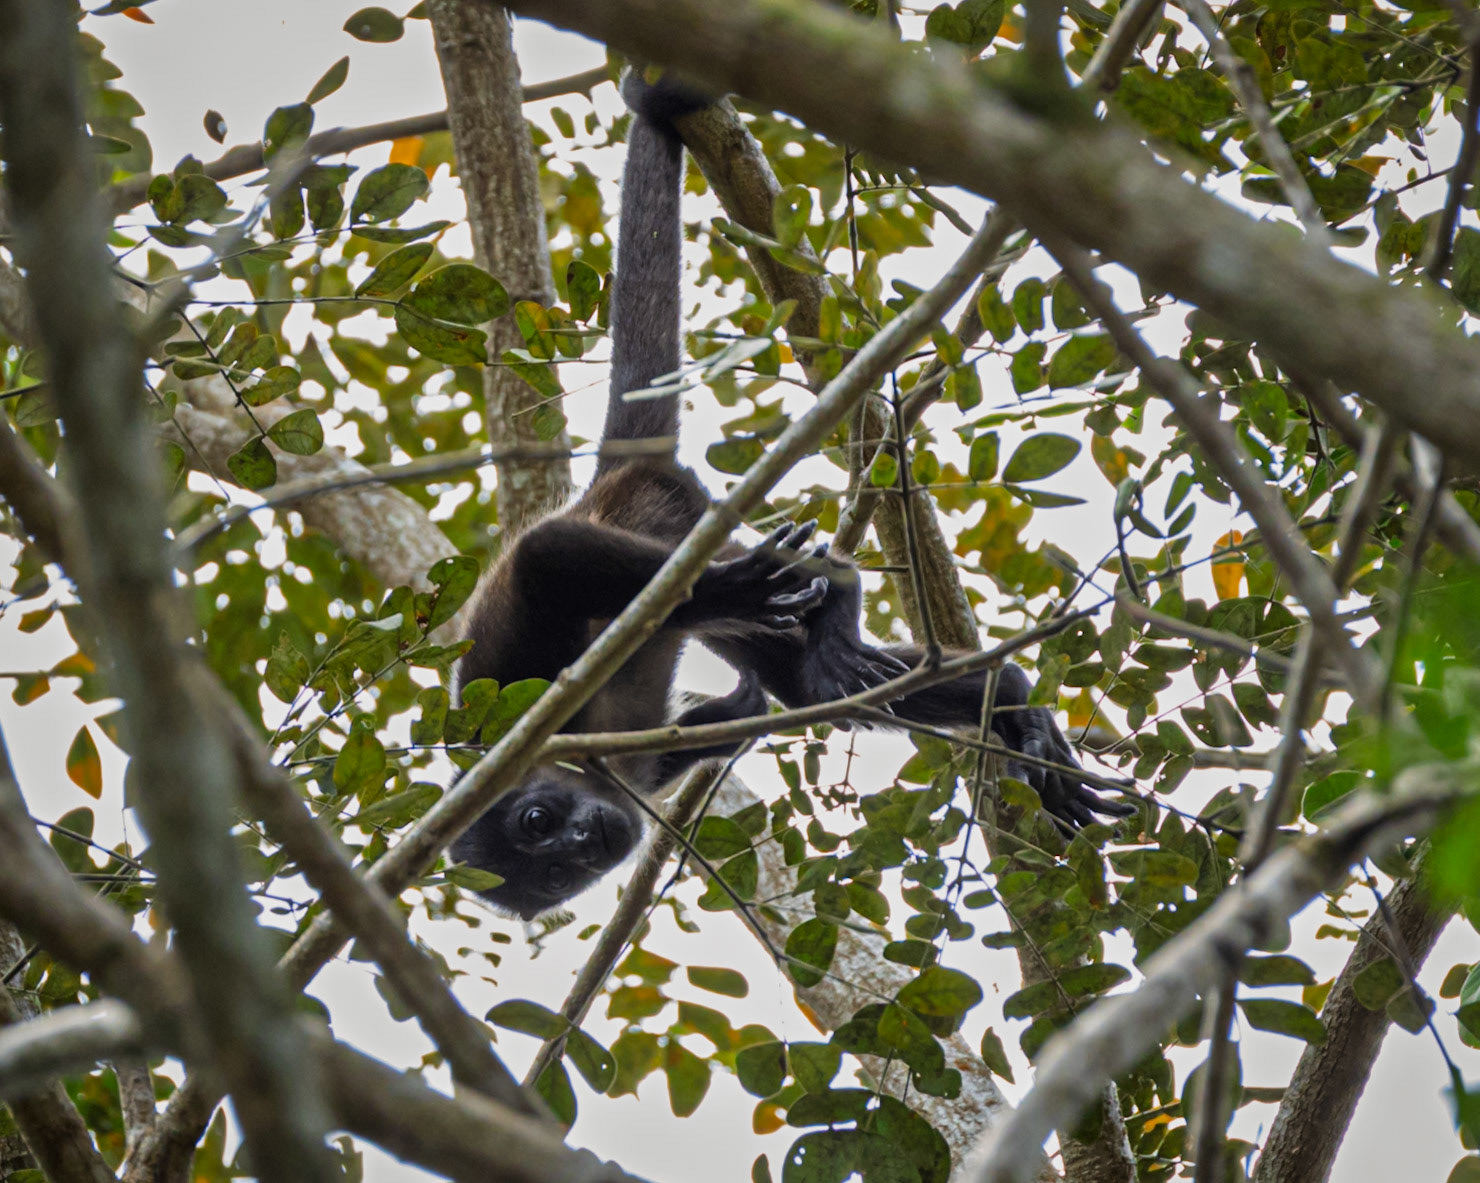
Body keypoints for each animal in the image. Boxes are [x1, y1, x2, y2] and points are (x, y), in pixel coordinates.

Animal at [449, 72, 1133, 920]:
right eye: (547, 873)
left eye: (540, 822)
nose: (580, 843)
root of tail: (610, 478)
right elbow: (751, 706)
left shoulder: (512, 685)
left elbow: (540, 560)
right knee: (807, 681)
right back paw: (1012, 706)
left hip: (665, 512)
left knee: (622, 567)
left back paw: (825, 591)